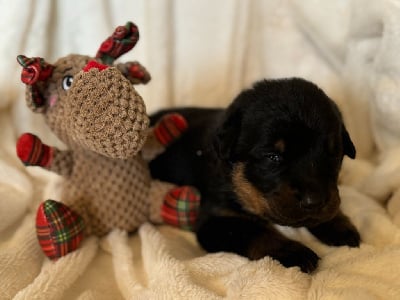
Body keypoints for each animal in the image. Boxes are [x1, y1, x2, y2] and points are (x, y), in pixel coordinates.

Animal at [149, 77, 360, 272]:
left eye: (333, 154)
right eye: (273, 157)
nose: (314, 202)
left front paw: (339, 225)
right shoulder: (215, 219)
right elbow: (253, 231)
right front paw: (293, 251)